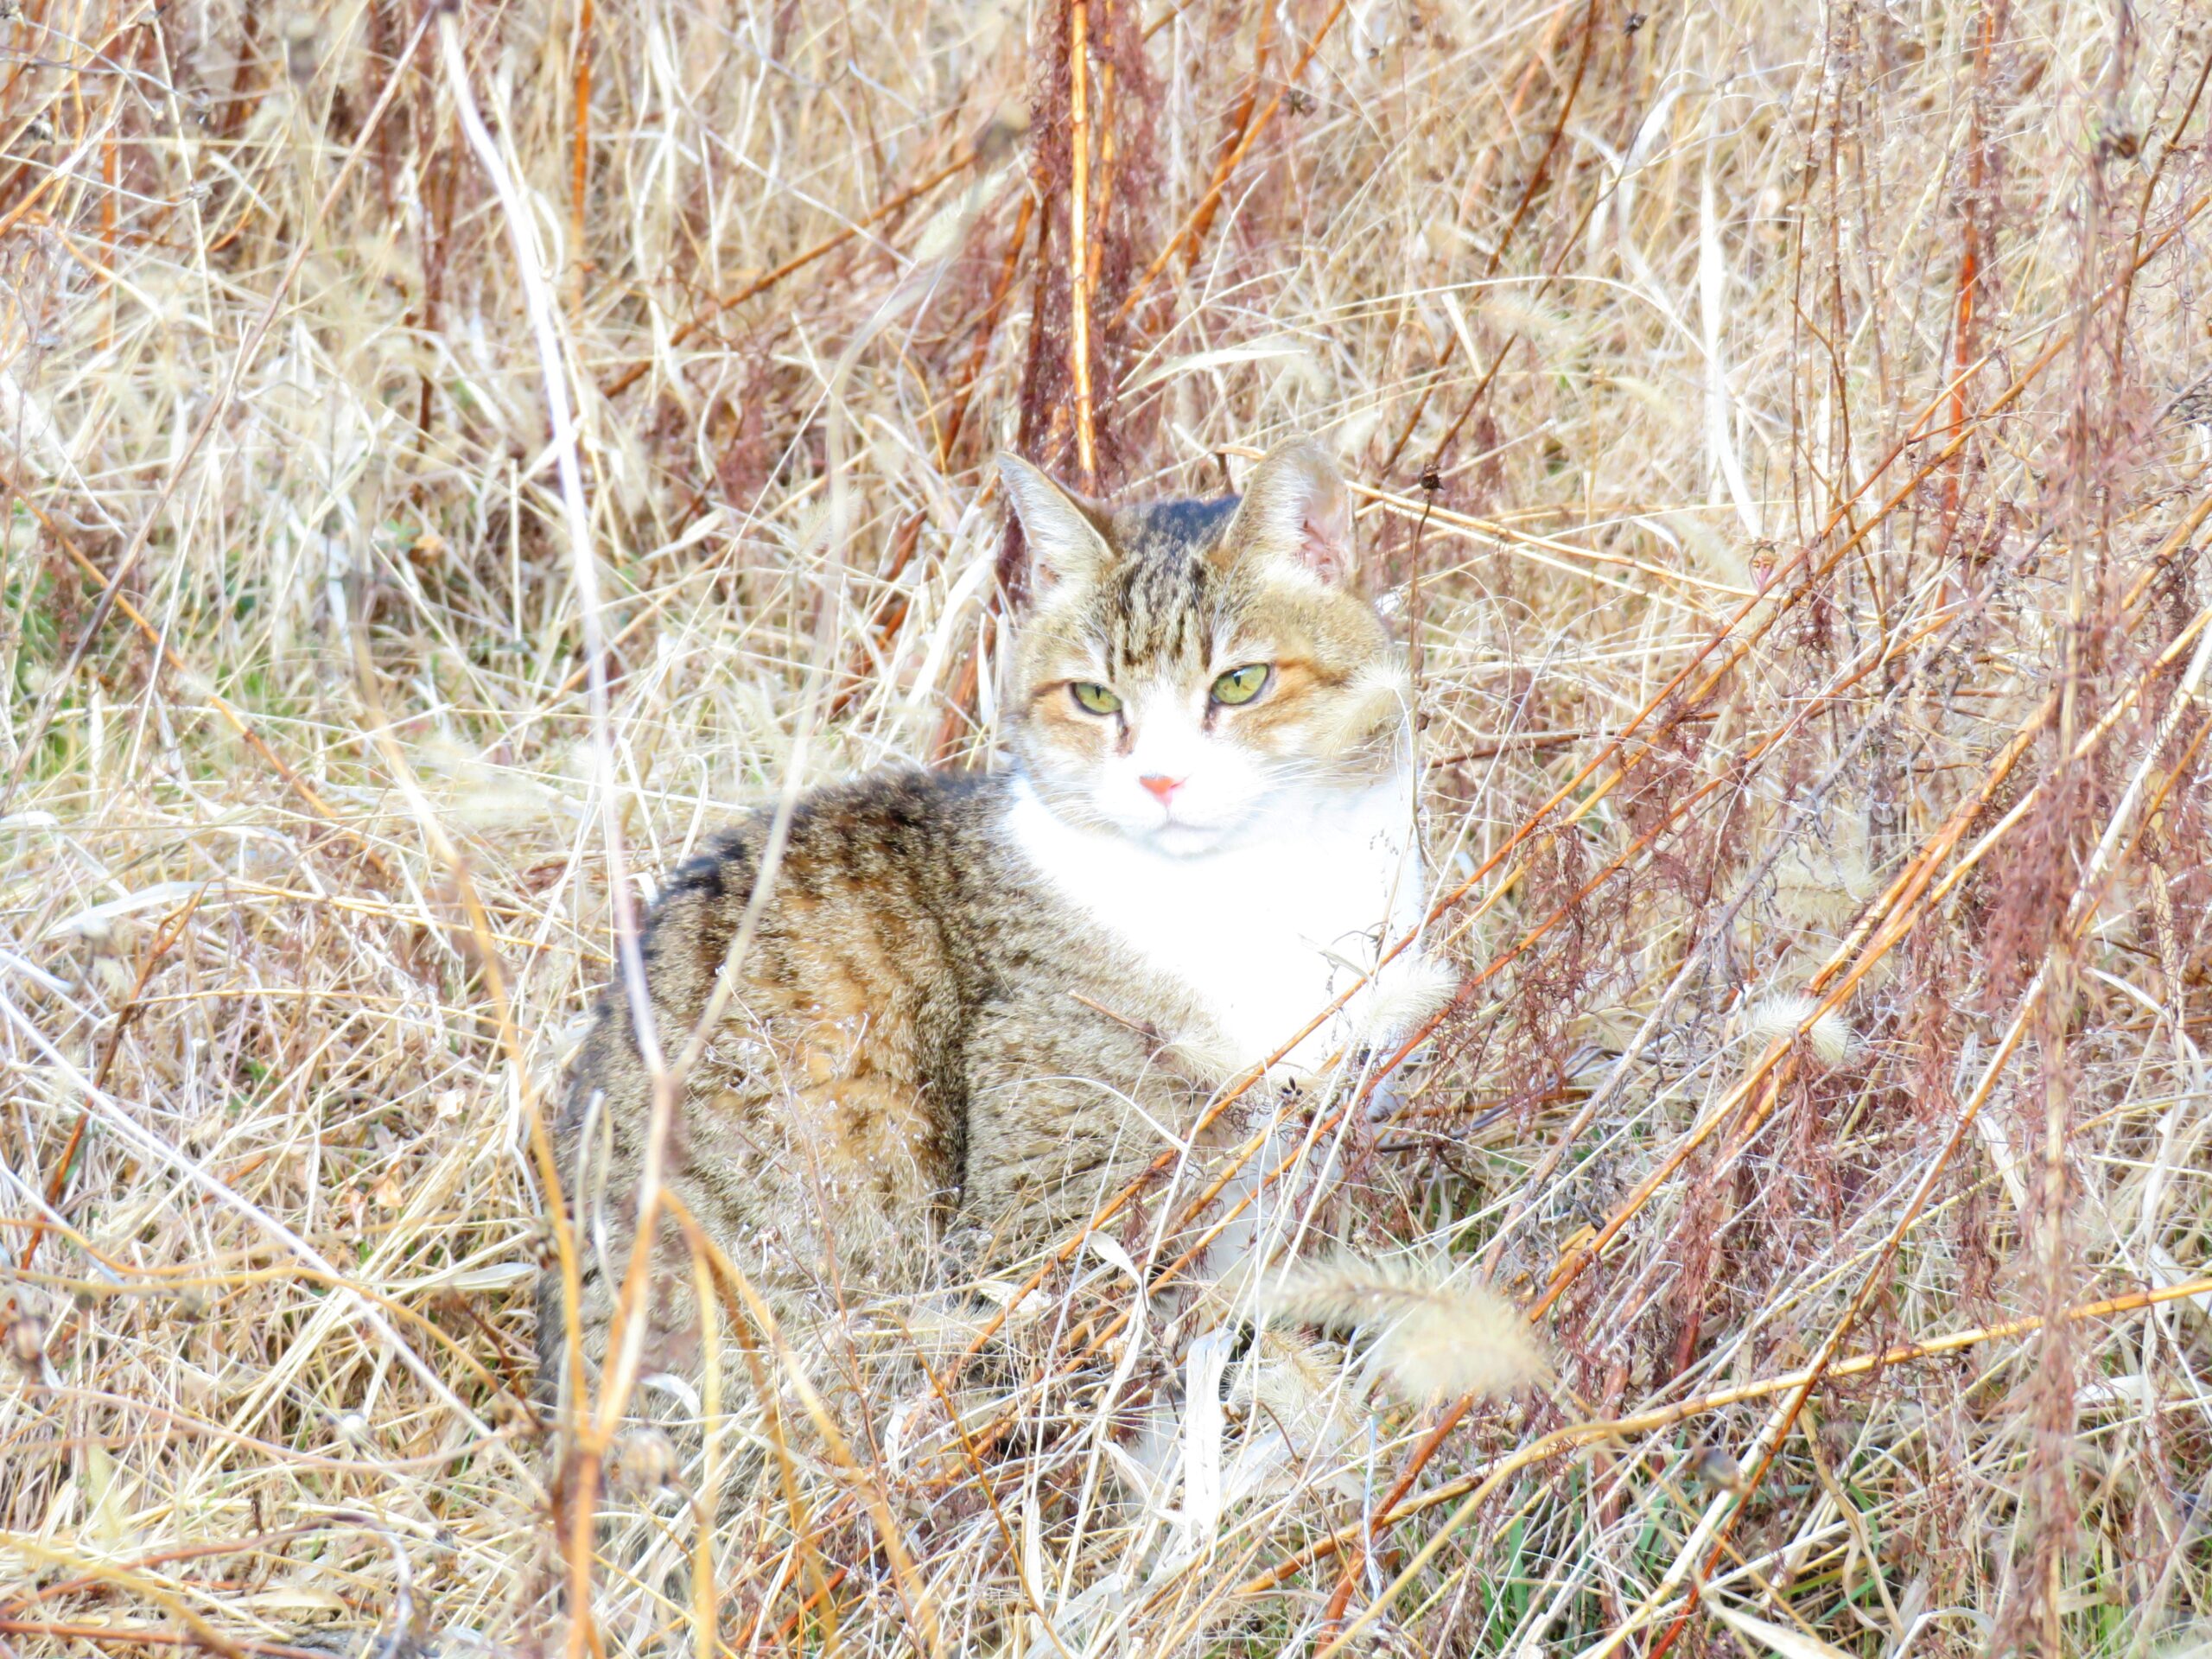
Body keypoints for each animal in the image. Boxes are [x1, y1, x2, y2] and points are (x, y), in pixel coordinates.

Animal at [535, 437, 1459, 1442]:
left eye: (1240, 682)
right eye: (1093, 697)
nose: (1161, 781)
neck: (1260, 887)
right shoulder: (1065, 1209)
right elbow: (1130, 1347)